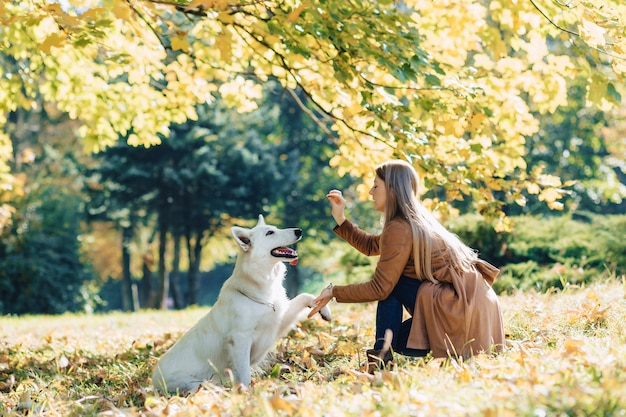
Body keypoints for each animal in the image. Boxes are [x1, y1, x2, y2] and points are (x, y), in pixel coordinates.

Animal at [152, 213, 332, 392]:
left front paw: (323, 308)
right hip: (196, 384)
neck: (259, 287)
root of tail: (153, 381)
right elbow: (245, 375)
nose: (299, 231)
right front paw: (247, 394)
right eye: (269, 233)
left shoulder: (277, 322)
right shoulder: (240, 339)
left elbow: (303, 295)